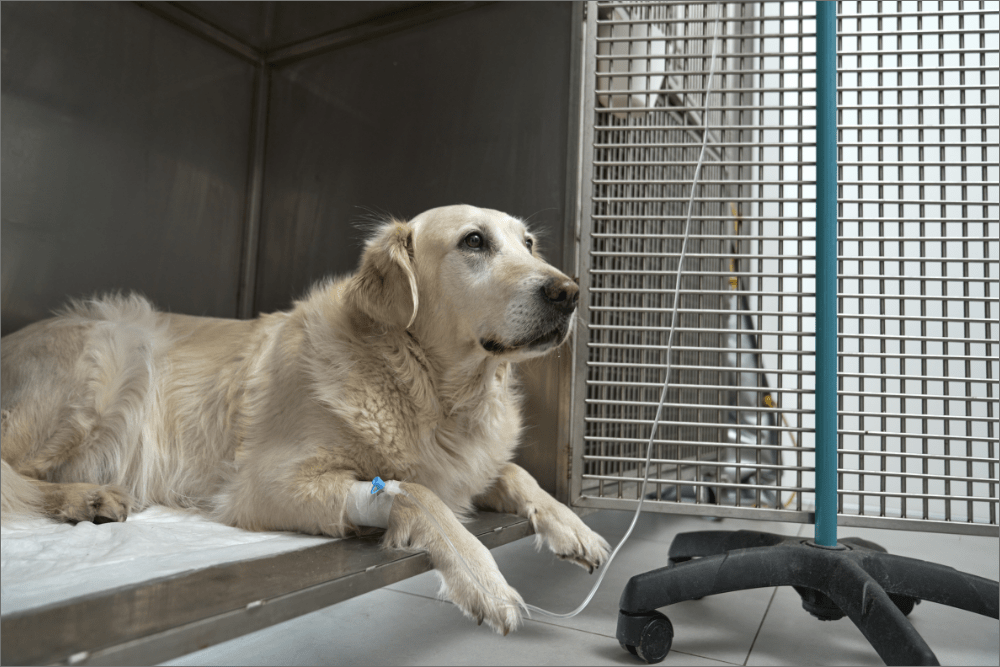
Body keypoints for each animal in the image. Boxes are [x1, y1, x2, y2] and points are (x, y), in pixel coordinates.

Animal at [0, 205, 608, 636]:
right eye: (474, 241)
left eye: (528, 243)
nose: (571, 293)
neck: (435, 393)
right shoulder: (261, 486)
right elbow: (416, 493)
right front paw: (484, 579)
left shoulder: (468, 463)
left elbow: (513, 473)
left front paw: (572, 526)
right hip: (111, 351)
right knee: (13, 474)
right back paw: (87, 497)